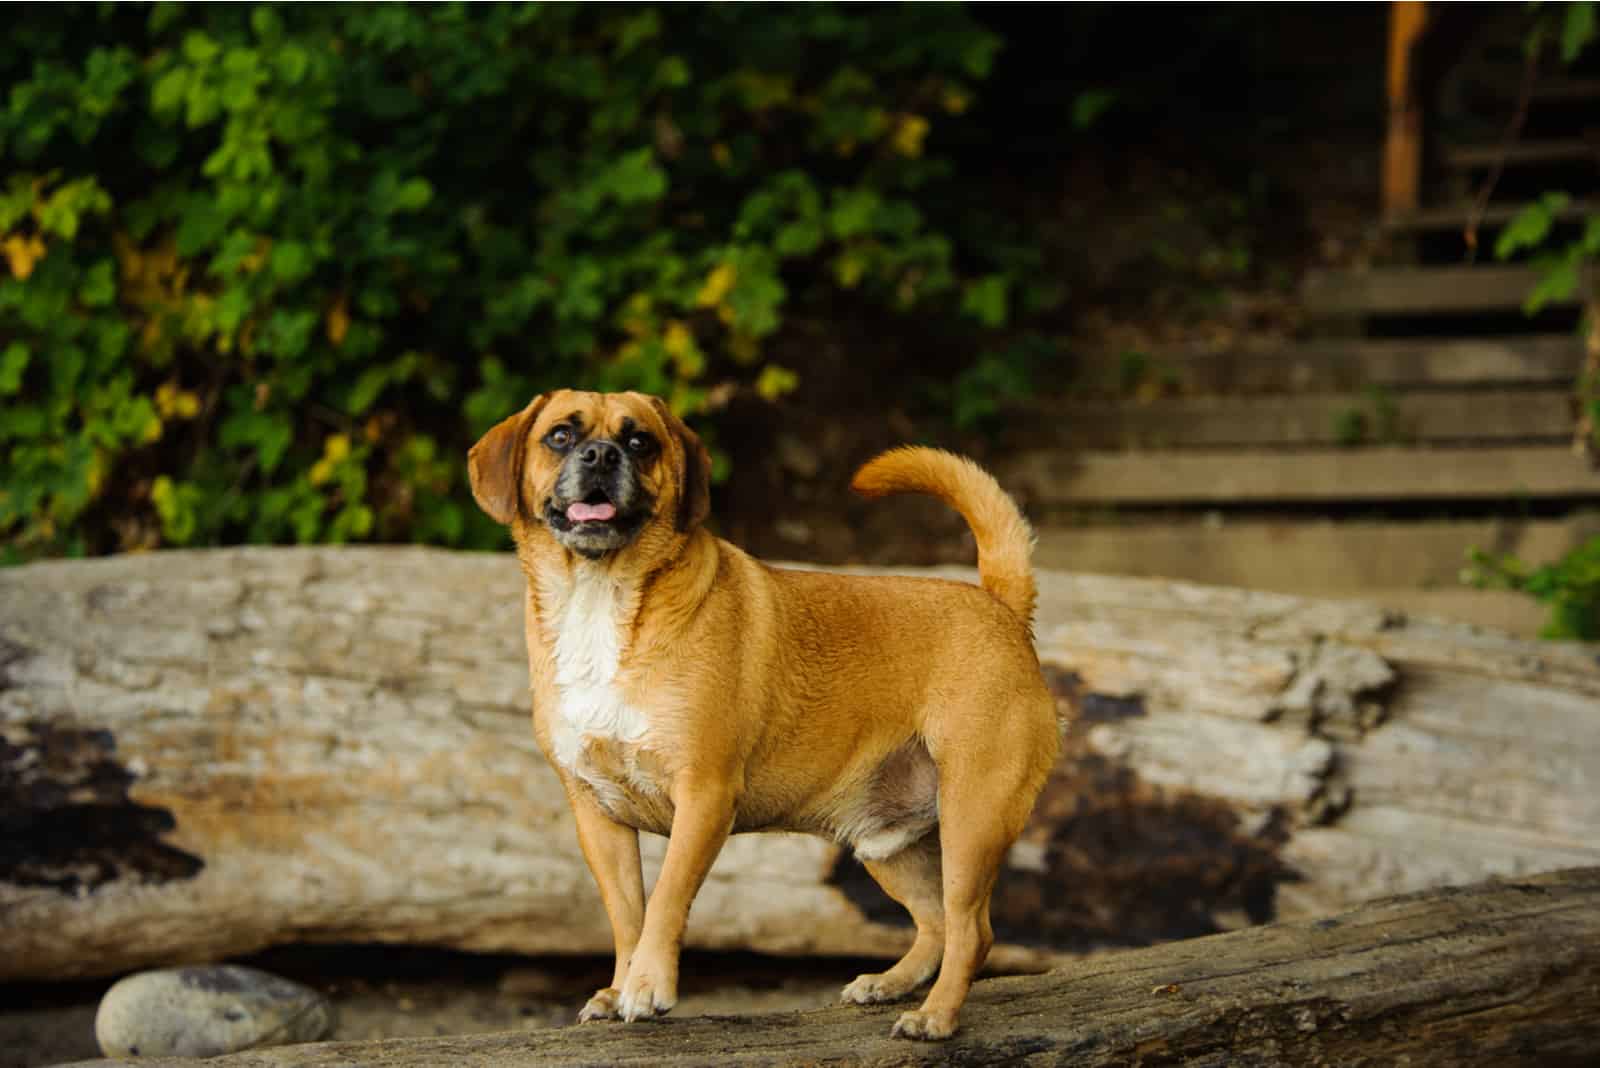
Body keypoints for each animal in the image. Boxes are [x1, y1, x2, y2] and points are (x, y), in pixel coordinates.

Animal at [467, 388, 1056, 1036]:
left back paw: (934, 1017)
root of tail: (1002, 607)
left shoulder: (703, 796)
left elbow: (665, 901)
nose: (600, 455)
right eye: (560, 437)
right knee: (937, 923)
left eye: (641, 442)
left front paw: (646, 988)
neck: (601, 597)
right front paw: (620, 986)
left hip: (970, 822)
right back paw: (888, 984)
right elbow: (627, 915)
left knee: (971, 929)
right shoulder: (598, 814)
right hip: (886, 842)